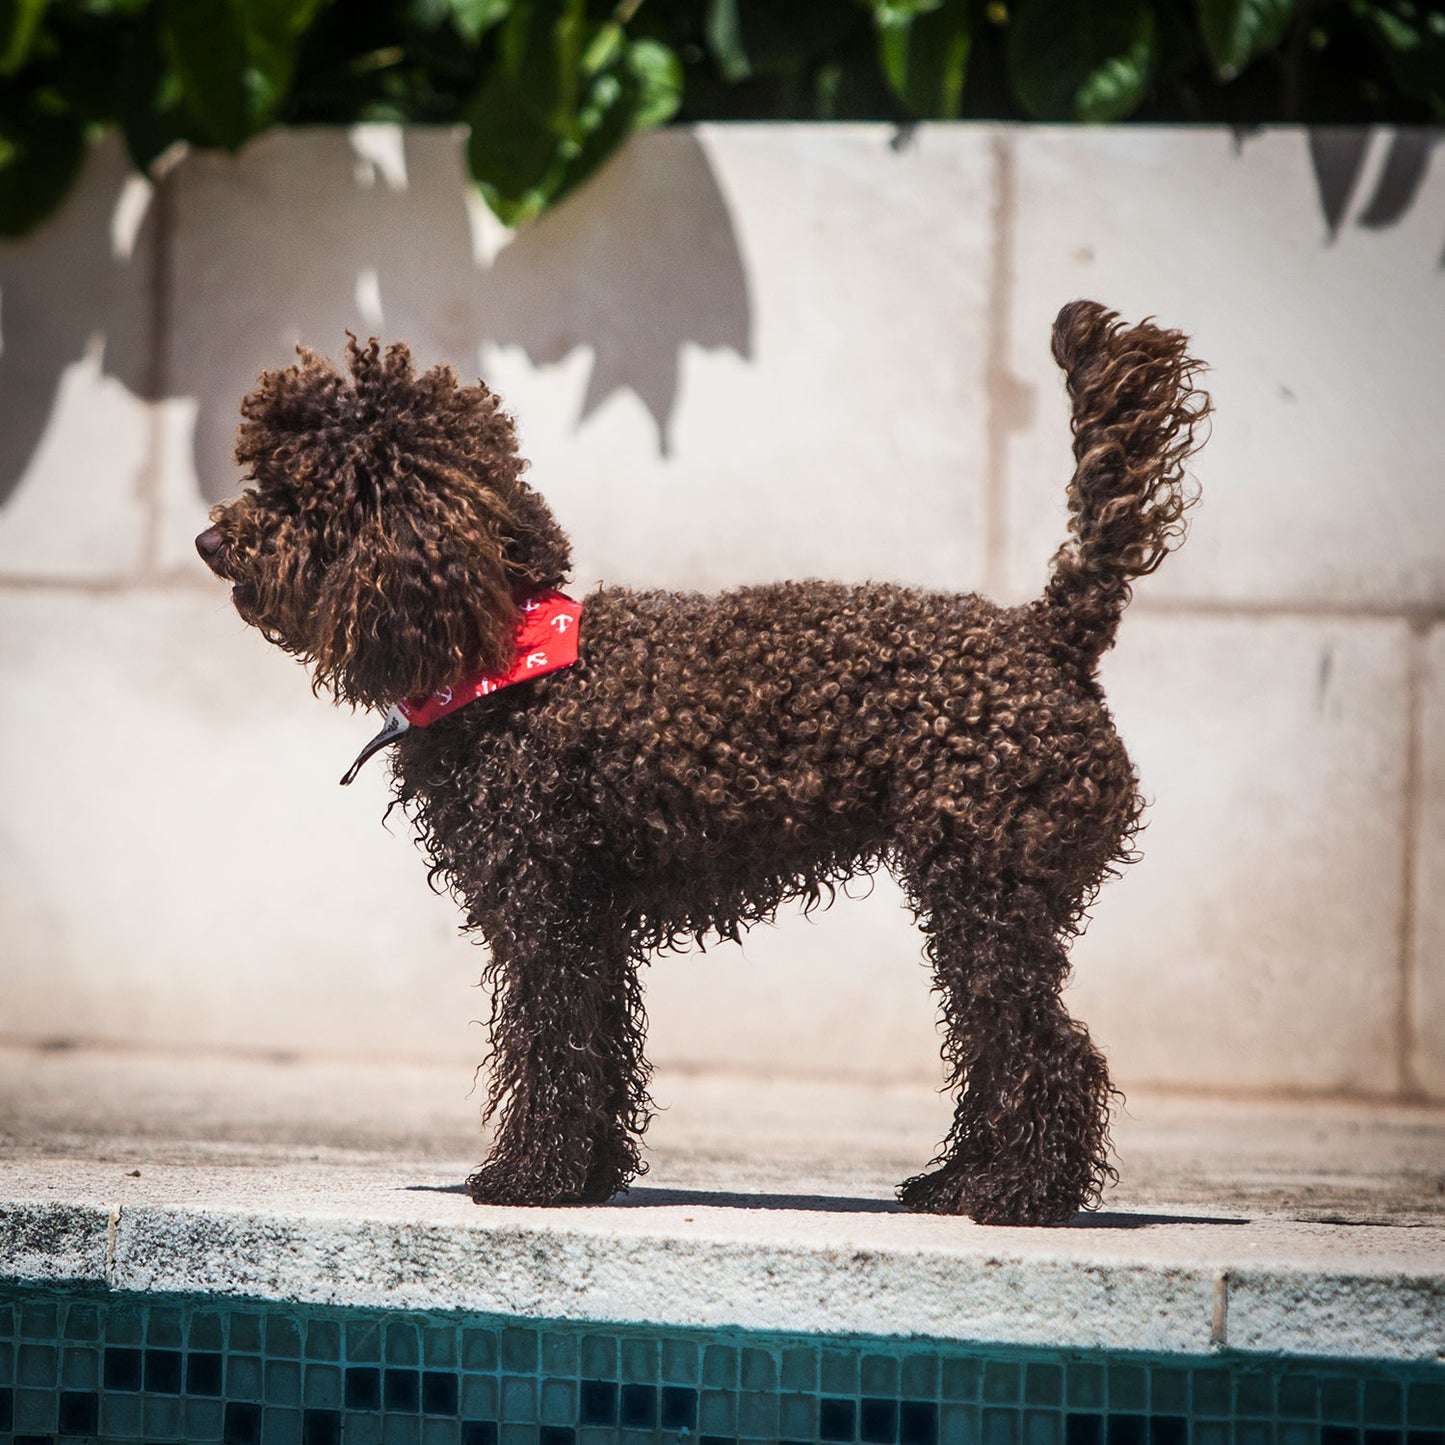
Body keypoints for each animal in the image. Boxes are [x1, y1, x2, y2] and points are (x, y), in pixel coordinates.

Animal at [195, 299, 1208, 1225]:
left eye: (293, 493)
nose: (206, 541)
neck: (506, 654)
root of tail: (1051, 635)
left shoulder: (543, 905)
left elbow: (548, 1043)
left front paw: (527, 1177)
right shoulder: (591, 919)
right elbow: (597, 1048)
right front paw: (586, 1176)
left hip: (987, 889)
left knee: (1042, 1045)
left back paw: (1022, 1193)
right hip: (987, 896)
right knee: (995, 1043)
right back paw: (959, 1183)